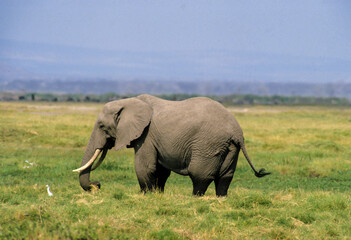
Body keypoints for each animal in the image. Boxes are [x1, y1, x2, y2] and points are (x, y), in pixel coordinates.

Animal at [73, 93, 270, 196]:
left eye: (101, 126)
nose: (97, 185)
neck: (129, 101)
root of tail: (237, 132)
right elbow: (160, 170)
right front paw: (158, 195)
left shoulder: (146, 136)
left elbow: (145, 167)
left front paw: (146, 195)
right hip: (230, 148)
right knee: (224, 178)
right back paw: (220, 198)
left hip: (208, 145)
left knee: (200, 176)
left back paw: (195, 198)